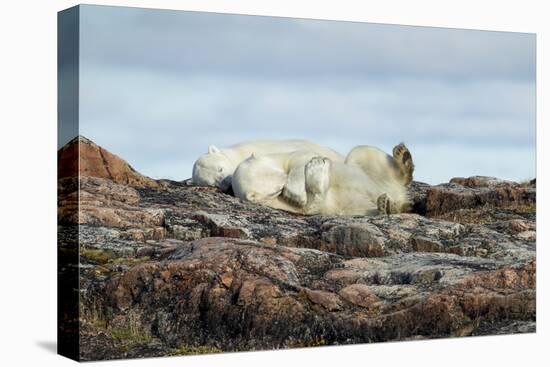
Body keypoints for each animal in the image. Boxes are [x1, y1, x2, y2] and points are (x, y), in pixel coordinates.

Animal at [231, 142, 416, 216]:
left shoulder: (284, 156)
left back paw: (403, 158)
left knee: (361, 152)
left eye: (282, 175)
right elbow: (311, 206)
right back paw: (388, 205)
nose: (285, 185)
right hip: (357, 207)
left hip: (370, 173)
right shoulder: (277, 204)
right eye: (276, 189)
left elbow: (302, 158)